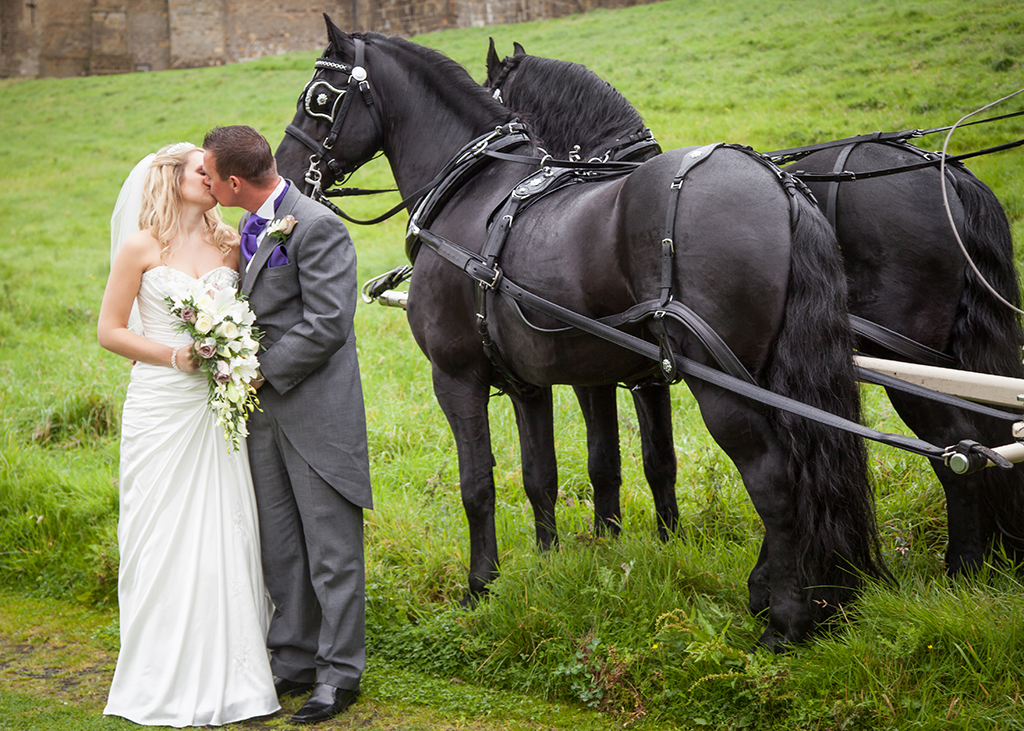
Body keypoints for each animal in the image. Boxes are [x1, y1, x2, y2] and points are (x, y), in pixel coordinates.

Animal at [276, 17, 884, 647]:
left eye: (318, 98)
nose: (286, 171)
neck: (472, 188)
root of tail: (778, 181)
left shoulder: (458, 377)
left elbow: (478, 484)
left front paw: (480, 585)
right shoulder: (534, 383)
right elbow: (544, 475)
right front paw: (552, 562)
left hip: (723, 384)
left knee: (776, 481)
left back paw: (785, 619)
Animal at [485, 42, 1024, 597]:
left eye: (495, 92)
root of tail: (945, 169)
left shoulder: (609, 370)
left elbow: (615, 459)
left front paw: (620, 539)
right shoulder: (643, 370)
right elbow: (649, 459)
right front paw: (658, 539)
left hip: (902, 354)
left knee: (955, 447)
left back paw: (961, 566)